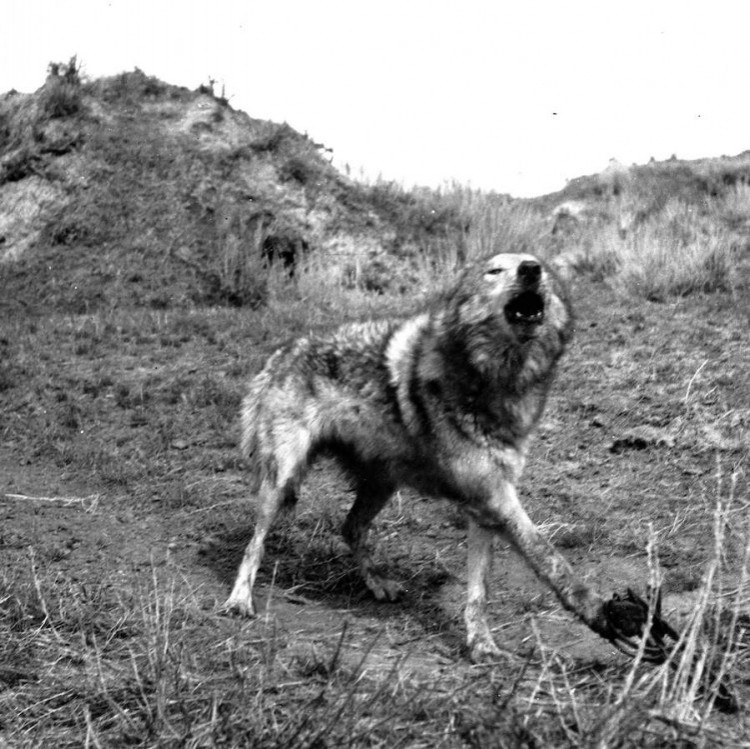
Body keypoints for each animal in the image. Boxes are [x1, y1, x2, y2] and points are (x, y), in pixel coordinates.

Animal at [228, 253, 656, 660]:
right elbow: (548, 556)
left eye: (539, 267)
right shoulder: (494, 496)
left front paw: (481, 645)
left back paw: (379, 584)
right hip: (282, 479)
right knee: (256, 542)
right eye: (495, 271)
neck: (495, 381)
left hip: (383, 484)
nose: (531, 270)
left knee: (349, 528)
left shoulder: (485, 505)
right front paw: (604, 612)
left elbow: (479, 591)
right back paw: (238, 601)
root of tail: (281, 353)